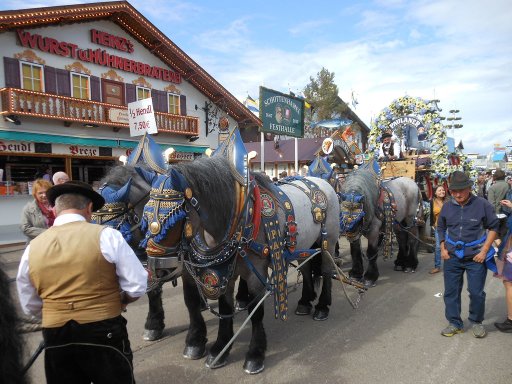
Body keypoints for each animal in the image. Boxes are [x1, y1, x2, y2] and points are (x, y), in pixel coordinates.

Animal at [136, 156, 340, 376]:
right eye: (145, 217)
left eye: (175, 218)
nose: (156, 268)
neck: (240, 220)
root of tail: (320, 182)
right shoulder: (227, 272)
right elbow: (224, 309)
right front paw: (220, 349)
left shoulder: (255, 274)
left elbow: (256, 312)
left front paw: (255, 355)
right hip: (305, 245)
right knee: (306, 268)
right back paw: (304, 302)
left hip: (328, 243)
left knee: (326, 271)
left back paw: (322, 307)